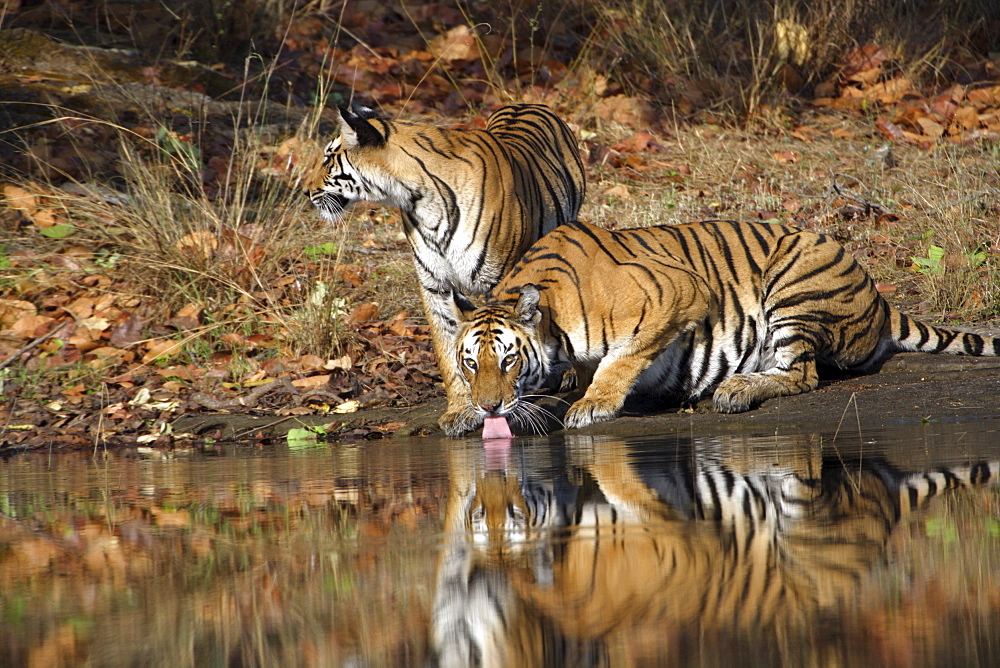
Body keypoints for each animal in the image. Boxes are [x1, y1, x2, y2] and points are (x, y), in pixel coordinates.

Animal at [304, 102, 584, 414]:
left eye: (328, 159)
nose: (305, 191)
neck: (419, 199)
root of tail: (526, 103)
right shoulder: (434, 282)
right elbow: (448, 346)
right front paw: (459, 410)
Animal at [442, 220, 1000, 438]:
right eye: (470, 363)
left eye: (509, 360)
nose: (489, 408)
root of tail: (880, 299)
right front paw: (462, 413)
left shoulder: (676, 292)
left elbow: (622, 358)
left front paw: (593, 404)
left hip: (794, 282)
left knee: (801, 374)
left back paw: (735, 389)